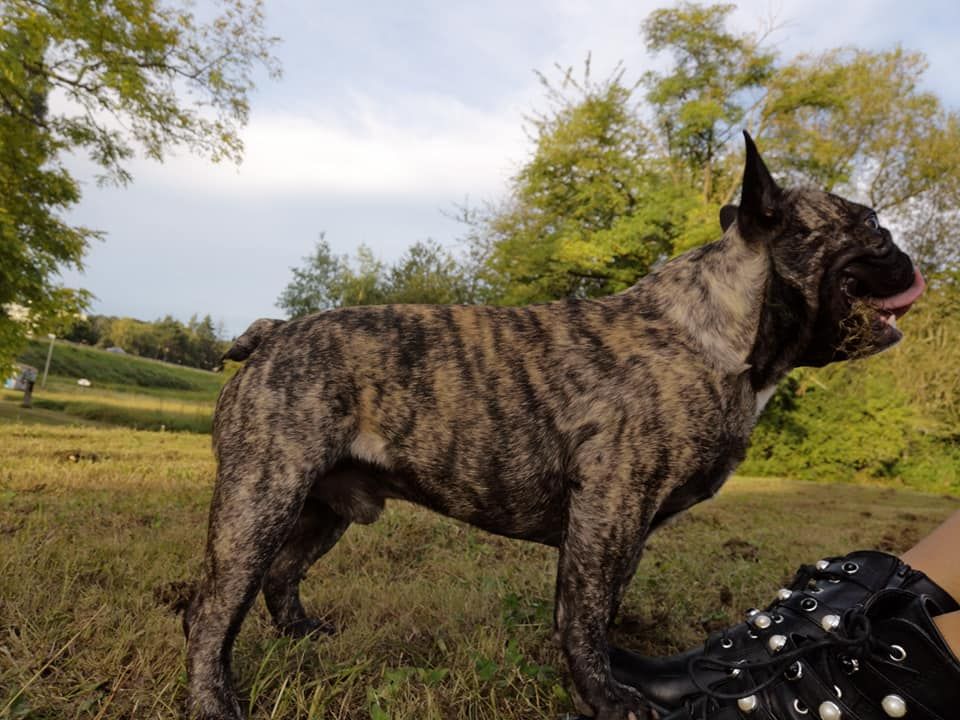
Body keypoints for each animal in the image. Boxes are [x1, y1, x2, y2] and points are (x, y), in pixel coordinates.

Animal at [184, 136, 928, 720]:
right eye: (873, 226)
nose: (910, 254)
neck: (716, 333)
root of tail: (274, 332)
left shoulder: (615, 527)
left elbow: (592, 608)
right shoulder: (611, 508)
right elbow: (584, 615)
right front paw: (606, 699)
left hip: (320, 509)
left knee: (279, 576)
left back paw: (304, 637)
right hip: (263, 498)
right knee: (213, 611)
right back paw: (216, 703)